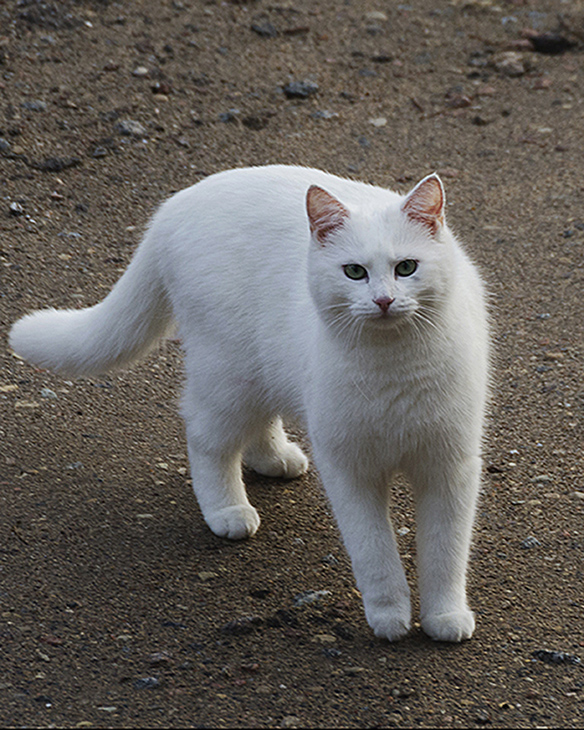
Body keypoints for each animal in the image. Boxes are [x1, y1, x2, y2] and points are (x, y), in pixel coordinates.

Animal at [11, 164, 490, 636]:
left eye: (406, 267)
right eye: (354, 272)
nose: (384, 300)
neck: (394, 368)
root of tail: (174, 205)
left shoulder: (450, 468)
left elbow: (445, 554)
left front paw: (444, 616)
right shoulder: (351, 469)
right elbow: (374, 552)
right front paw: (389, 615)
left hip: (259, 371)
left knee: (258, 420)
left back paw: (274, 459)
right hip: (228, 377)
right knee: (206, 439)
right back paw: (227, 510)